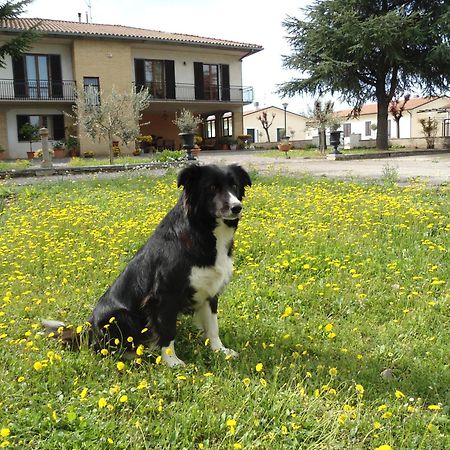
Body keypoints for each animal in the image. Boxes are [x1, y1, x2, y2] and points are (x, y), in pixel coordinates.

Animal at [43, 163, 251, 368]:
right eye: (212, 188)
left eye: (234, 186)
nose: (237, 207)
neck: (204, 231)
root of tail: (88, 329)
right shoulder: (163, 296)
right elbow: (167, 332)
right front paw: (172, 362)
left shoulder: (210, 290)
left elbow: (213, 326)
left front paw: (220, 350)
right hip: (118, 315)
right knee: (106, 347)